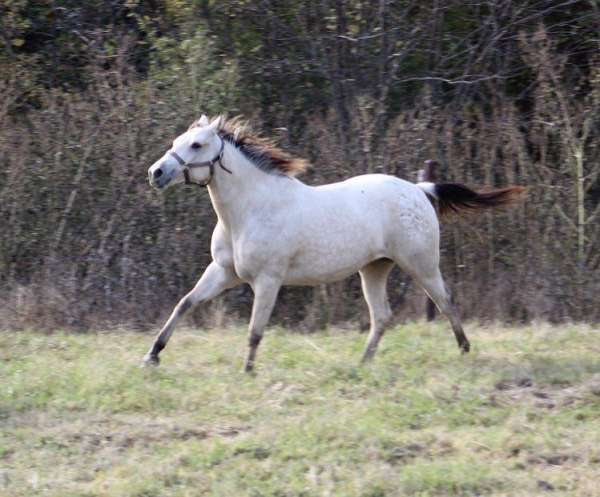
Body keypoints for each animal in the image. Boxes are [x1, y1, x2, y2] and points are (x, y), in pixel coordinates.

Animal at [143, 114, 524, 370]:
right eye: (174, 142)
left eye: (196, 145)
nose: (155, 173)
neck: (249, 210)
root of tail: (419, 189)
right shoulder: (223, 272)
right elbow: (185, 304)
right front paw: (151, 356)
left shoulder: (268, 280)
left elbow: (255, 329)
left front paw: (247, 370)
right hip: (374, 269)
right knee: (382, 316)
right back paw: (363, 362)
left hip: (421, 264)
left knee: (445, 301)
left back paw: (464, 350)